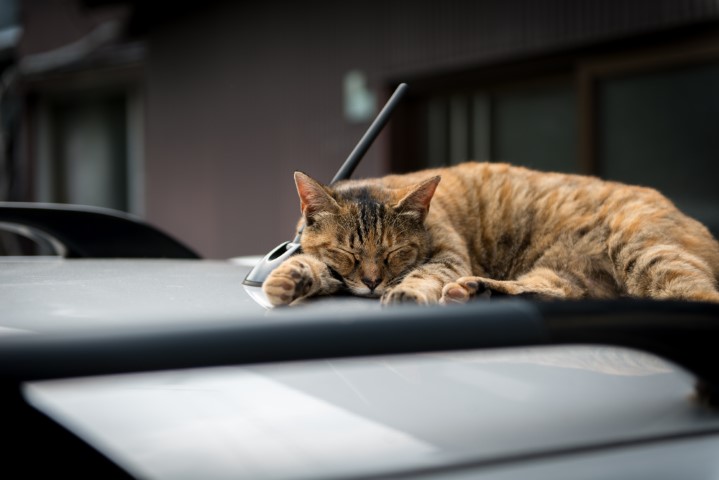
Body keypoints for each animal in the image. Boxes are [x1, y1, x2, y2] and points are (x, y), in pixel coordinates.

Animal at [262, 160, 719, 304]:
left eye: (394, 253)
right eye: (348, 253)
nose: (374, 282)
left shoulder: (448, 256)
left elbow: (424, 275)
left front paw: (405, 291)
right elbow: (311, 264)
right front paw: (289, 277)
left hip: (645, 253)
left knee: (700, 296)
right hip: (563, 271)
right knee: (552, 291)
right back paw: (478, 289)